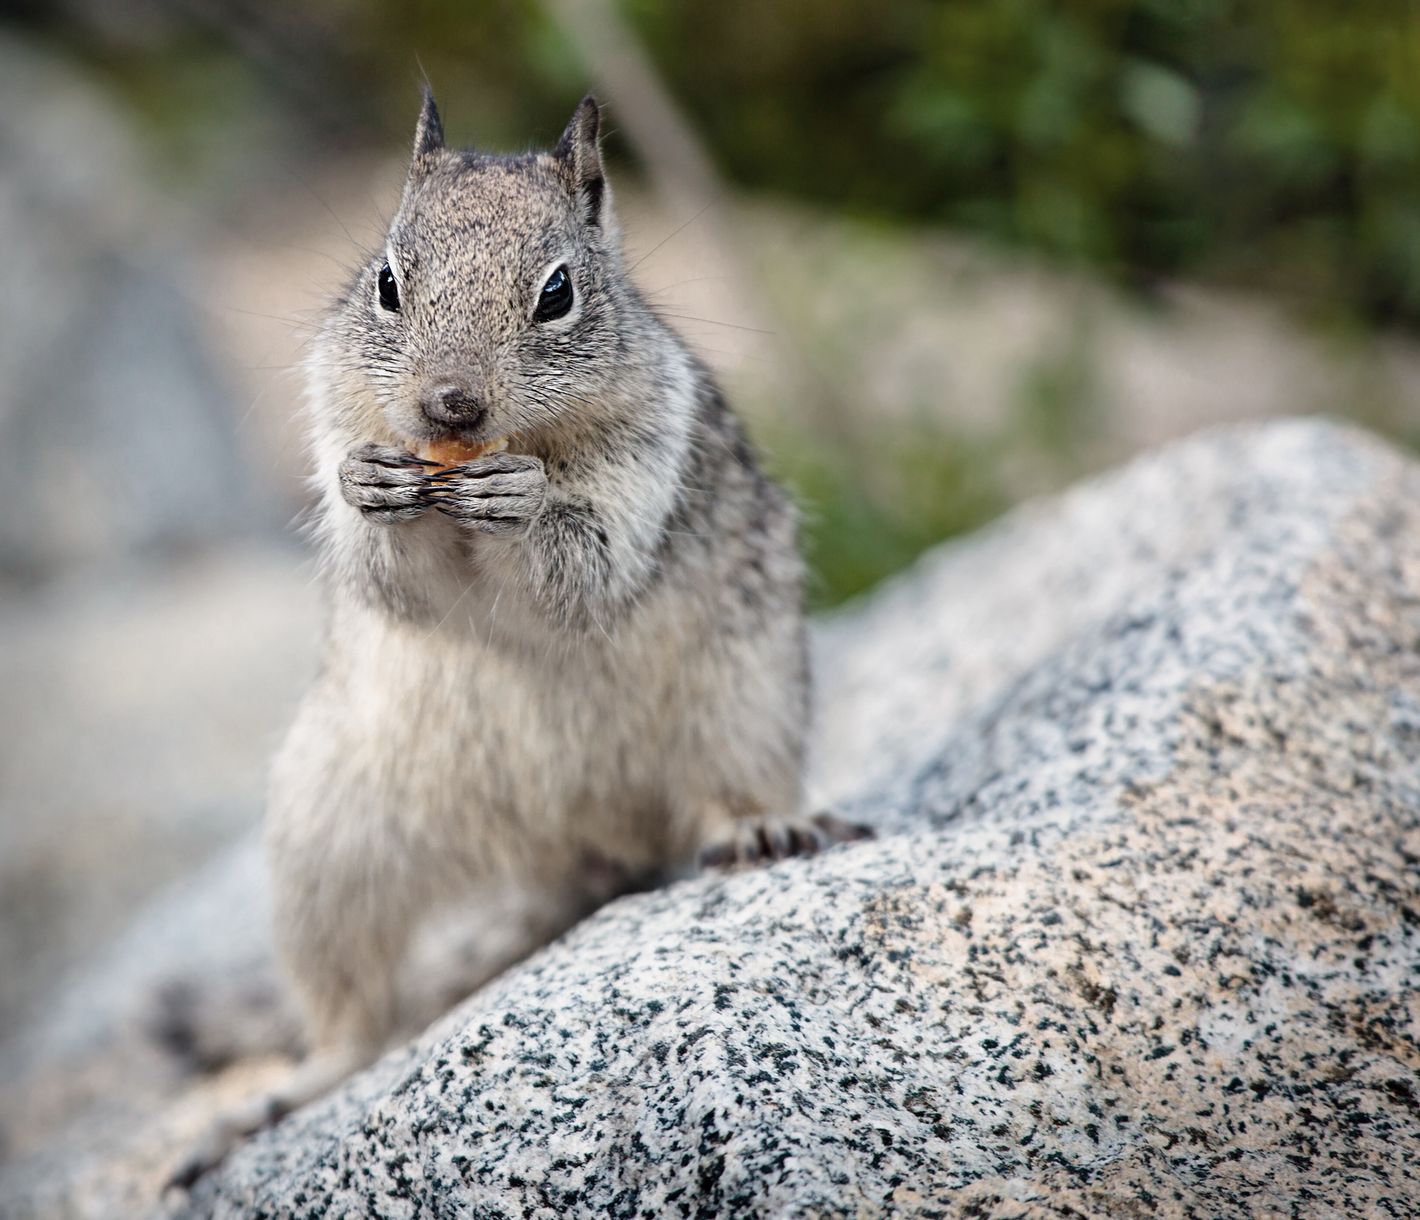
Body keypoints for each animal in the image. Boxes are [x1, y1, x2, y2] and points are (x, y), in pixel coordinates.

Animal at [168, 91, 868, 1189]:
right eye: (386, 281)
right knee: (355, 1019)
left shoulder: (641, 471)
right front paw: (373, 488)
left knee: (728, 794)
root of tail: (565, 853)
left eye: (558, 293)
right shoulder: (338, 417)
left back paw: (761, 827)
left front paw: (523, 502)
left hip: (743, 708)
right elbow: (387, 572)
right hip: (328, 843)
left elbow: (576, 569)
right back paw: (271, 1099)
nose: (449, 404)